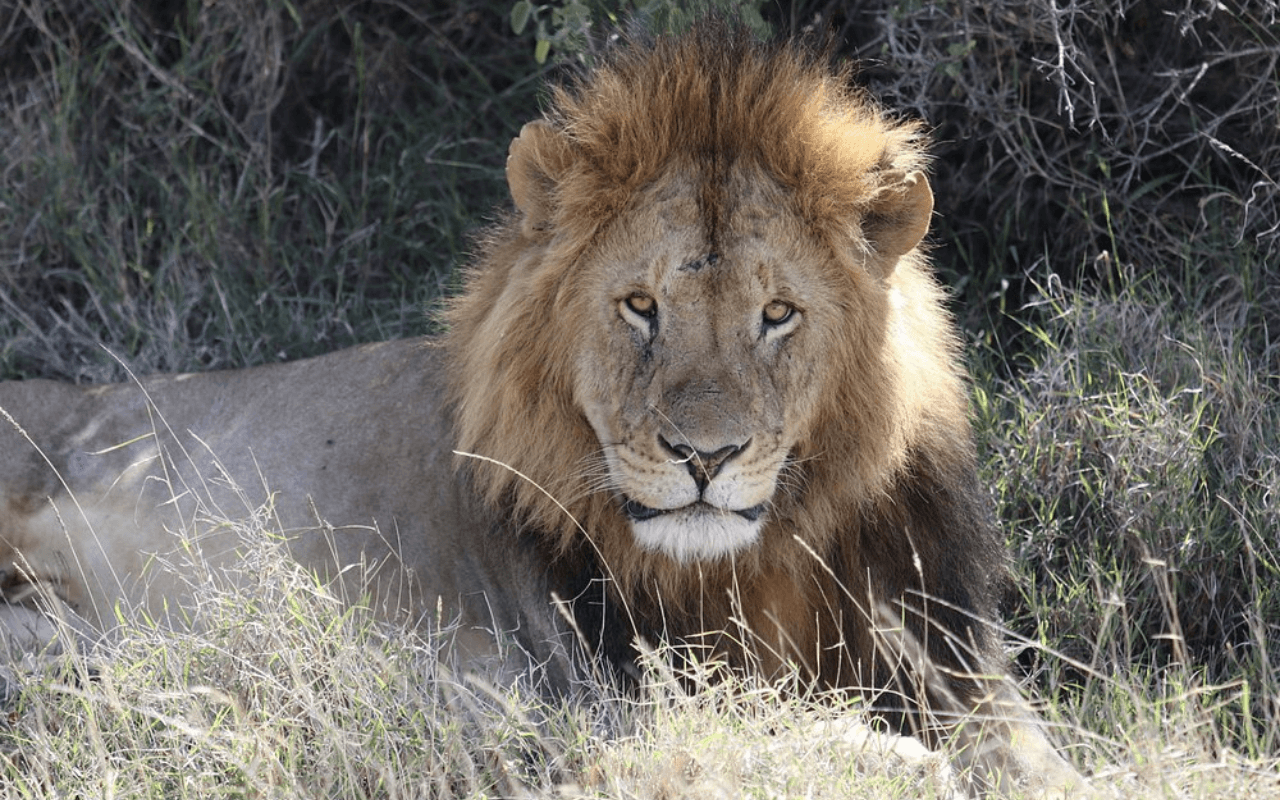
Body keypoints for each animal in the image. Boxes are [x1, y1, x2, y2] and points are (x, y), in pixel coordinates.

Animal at [0, 21, 1082, 796]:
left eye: (777, 314)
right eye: (640, 306)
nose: (704, 456)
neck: (759, 559)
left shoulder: (959, 659)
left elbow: (1044, 762)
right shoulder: (579, 684)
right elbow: (736, 727)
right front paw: (883, 757)